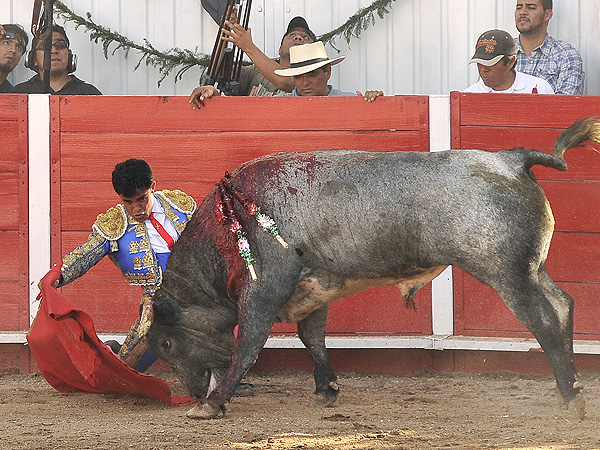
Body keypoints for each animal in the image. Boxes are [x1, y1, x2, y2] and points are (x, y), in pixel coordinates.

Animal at [149, 115, 600, 418]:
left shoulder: (265, 289)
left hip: (505, 273)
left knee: (543, 319)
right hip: (532, 269)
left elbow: (248, 344)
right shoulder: (315, 288)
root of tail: (511, 160)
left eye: (166, 345)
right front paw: (326, 388)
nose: (193, 391)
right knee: (563, 305)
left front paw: (212, 405)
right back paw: (570, 386)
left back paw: (572, 396)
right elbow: (312, 337)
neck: (229, 224)